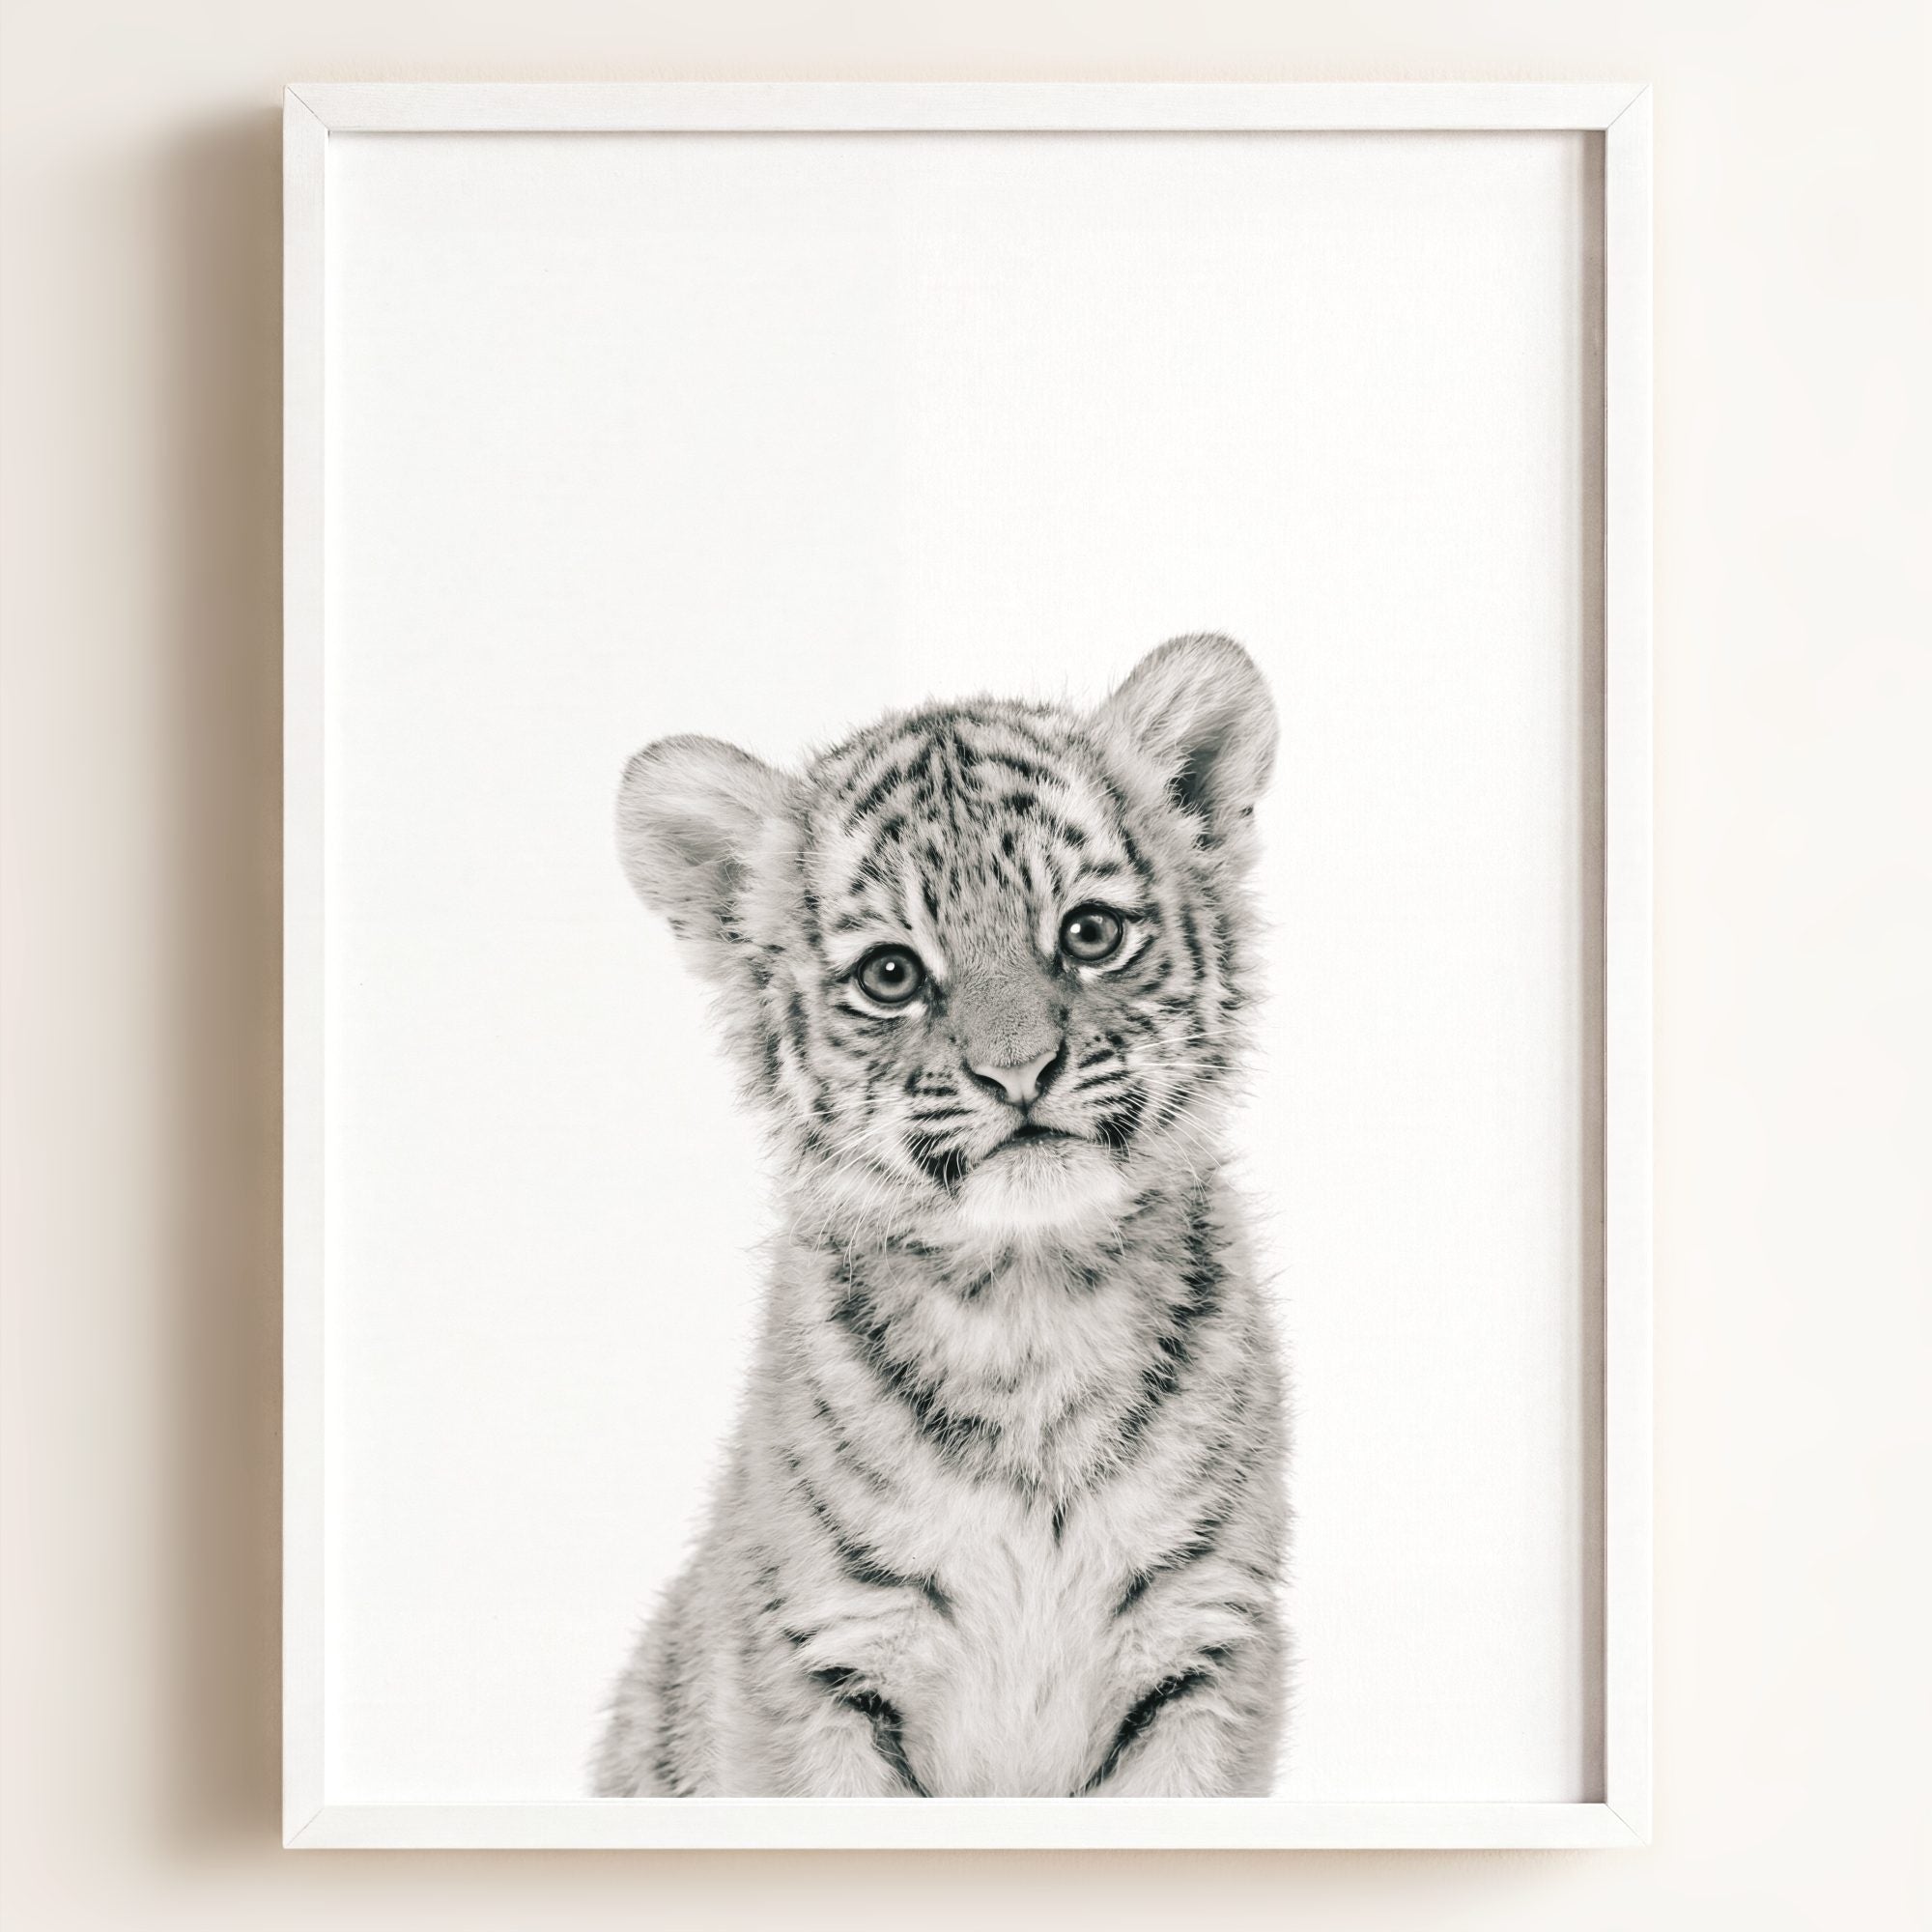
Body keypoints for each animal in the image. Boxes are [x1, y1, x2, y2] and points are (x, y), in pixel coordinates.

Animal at [591, 633, 1289, 1799]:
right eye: (891, 974)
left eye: (1089, 932)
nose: (1019, 1072)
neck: (1030, 1305)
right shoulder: (819, 1660)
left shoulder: (1203, 1647)